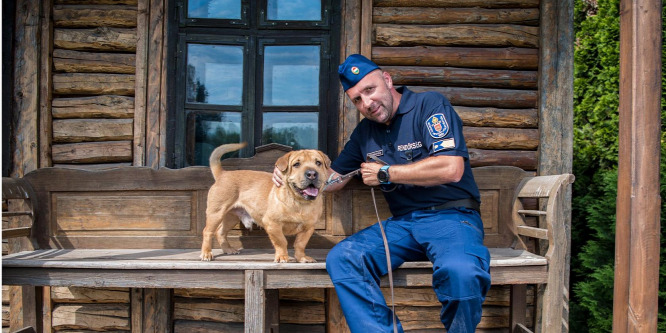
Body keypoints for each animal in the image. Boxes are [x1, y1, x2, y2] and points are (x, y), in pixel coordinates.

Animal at [200, 142, 330, 262]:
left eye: (318, 163)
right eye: (296, 164)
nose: (312, 173)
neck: (299, 203)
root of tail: (223, 174)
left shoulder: (308, 228)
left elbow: (300, 244)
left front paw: (301, 258)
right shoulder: (272, 224)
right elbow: (281, 242)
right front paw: (282, 257)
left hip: (232, 217)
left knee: (220, 232)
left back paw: (228, 249)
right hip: (216, 213)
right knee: (208, 231)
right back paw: (206, 253)